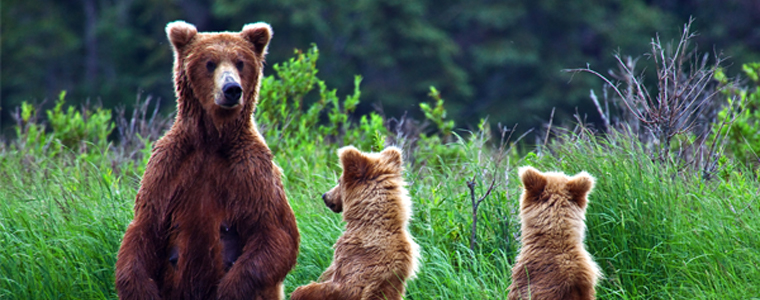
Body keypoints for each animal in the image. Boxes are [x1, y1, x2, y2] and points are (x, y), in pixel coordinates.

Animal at [116, 21, 300, 300]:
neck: (212, 139)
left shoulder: (251, 170)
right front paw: (141, 290)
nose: (231, 89)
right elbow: (145, 228)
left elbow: (275, 234)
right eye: (210, 63)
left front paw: (229, 290)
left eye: (240, 62)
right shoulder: (168, 166)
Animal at [290, 146, 422, 300]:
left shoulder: (356, 257)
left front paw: (300, 290)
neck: (366, 221)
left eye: (339, 181)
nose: (325, 196)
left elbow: (340, 285)